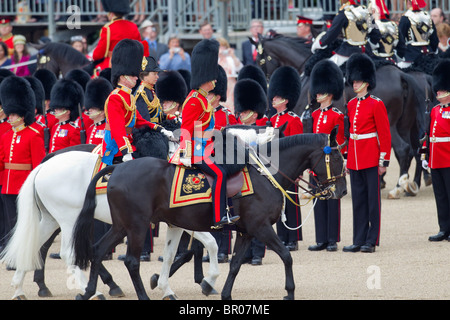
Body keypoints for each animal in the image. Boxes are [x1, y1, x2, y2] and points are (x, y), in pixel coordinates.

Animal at [72, 127, 346, 300]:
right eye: (337, 159)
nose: (342, 191)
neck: (267, 175)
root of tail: (117, 169)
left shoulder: (247, 232)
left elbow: (234, 265)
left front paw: (223, 292)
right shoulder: (261, 228)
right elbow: (286, 257)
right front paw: (289, 292)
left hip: (122, 226)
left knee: (97, 250)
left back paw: (89, 291)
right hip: (137, 227)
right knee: (130, 261)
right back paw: (137, 295)